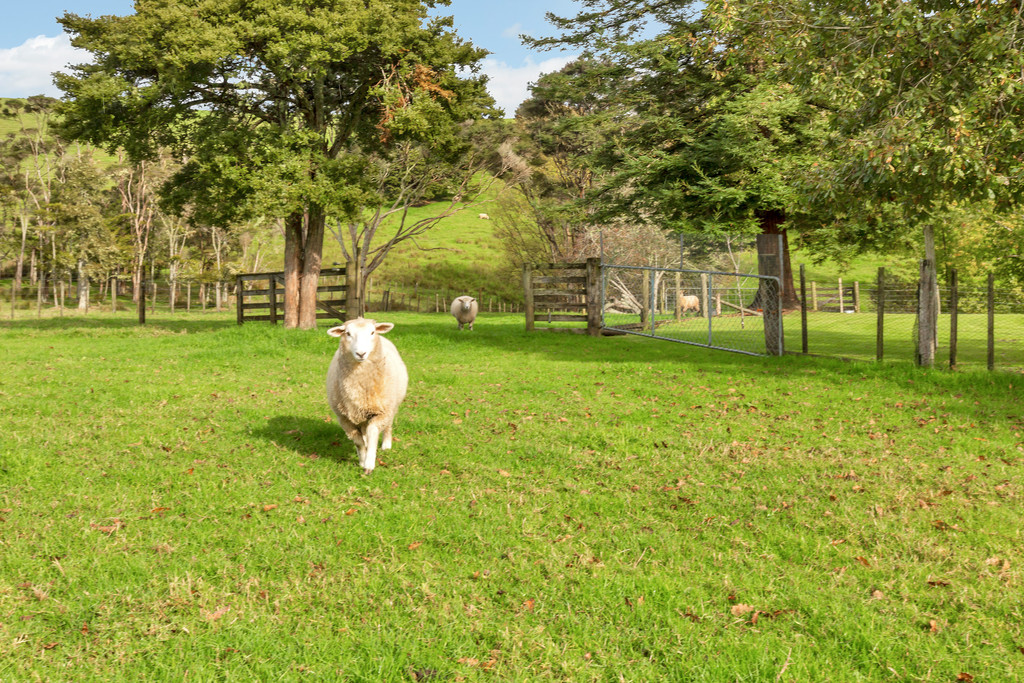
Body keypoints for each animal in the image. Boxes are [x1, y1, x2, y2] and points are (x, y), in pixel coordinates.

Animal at [327, 317, 407, 473]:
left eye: (372, 332)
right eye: (347, 333)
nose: (361, 353)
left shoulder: (381, 412)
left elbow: (372, 433)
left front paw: (369, 463)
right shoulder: (344, 418)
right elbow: (358, 441)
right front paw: (362, 460)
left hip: (392, 406)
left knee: (388, 425)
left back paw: (386, 445)